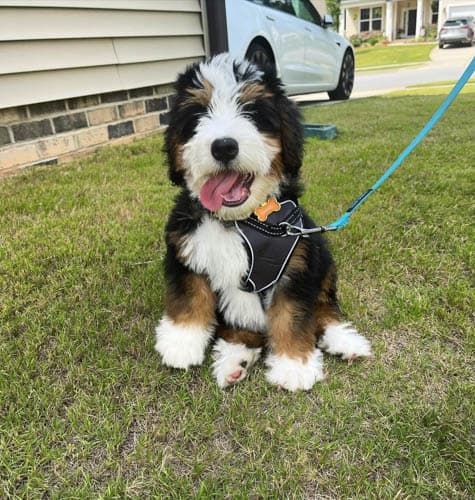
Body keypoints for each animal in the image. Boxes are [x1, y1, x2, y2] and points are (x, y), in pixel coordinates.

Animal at [155, 53, 372, 390]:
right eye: (198, 115)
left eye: (252, 113)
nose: (224, 146)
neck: (241, 221)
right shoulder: (186, 250)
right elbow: (189, 295)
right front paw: (181, 341)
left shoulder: (296, 265)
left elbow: (290, 315)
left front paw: (294, 365)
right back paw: (235, 360)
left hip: (321, 254)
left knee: (324, 307)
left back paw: (345, 341)